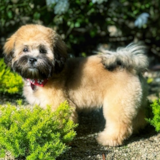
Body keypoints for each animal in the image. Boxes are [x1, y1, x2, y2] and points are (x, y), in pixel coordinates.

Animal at [3, 24, 149, 146]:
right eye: (25, 49)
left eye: (43, 50)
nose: (32, 59)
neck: (43, 76)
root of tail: (132, 67)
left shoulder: (61, 106)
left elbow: (61, 123)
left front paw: (59, 137)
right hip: (132, 102)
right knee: (138, 117)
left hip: (117, 103)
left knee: (120, 124)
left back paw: (108, 139)